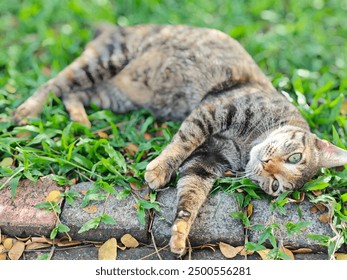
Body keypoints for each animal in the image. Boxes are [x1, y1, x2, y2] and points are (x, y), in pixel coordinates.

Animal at [12, 24, 347, 256]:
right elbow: (183, 141)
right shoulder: (214, 110)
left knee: (74, 95)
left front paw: (180, 233)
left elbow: (190, 196)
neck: (246, 144)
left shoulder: (208, 160)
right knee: (56, 84)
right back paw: (26, 111)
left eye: (276, 186)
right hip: (105, 61)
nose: (265, 163)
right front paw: (159, 171)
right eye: (295, 157)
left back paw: (81, 121)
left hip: (113, 95)